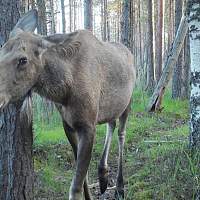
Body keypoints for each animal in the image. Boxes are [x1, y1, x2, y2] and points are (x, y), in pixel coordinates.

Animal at [0, 9, 136, 200]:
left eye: (23, 60)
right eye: (0, 52)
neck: (63, 91)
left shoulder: (87, 126)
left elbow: (75, 187)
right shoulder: (68, 125)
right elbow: (83, 178)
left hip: (127, 104)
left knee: (121, 134)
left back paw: (119, 187)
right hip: (111, 107)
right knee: (112, 123)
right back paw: (103, 174)